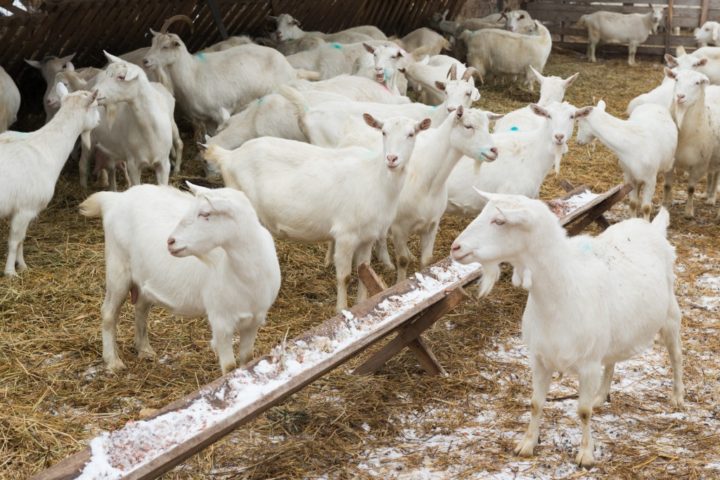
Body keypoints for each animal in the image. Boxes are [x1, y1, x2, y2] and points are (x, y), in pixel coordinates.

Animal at [0, 84, 99, 276]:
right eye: (96, 106)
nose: (98, 122)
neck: (46, 146)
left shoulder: (22, 211)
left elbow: (22, 240)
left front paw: (23, 266)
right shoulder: (25, 208)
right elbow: (14, 241)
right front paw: (10, 272)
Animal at [80, 182, 280, 374]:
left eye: (205, 213)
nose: (170, 241)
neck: (247, 276)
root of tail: (115, 198)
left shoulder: (254, 320)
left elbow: (248, 359)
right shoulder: (221, 321)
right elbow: (230, 368)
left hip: (144, 277)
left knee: (141, 308)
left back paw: (144, 349)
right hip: (117, 267)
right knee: (108, 313)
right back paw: (112, 361)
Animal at [202, 114, 428, 314]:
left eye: (411, 134)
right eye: (383, 132)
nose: (392, 158)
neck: (375, 179)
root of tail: (229, 156)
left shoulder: (367, 236)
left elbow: (363, 270)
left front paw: (362, 302)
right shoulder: (345, 234)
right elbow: (345, 276)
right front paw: (341, 308)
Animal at [452, 193, 684, 466]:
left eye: (499, 221)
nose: (455, 247)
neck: (563, 291)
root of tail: (651, 227)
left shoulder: (588, 365)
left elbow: (583, 412)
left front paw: (585, 454)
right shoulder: (539, 359)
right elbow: (535, 404)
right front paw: (527, 444)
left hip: (670, 315)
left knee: (676, 356)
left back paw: (678, 397)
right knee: (611, 361)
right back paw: (601, 395)